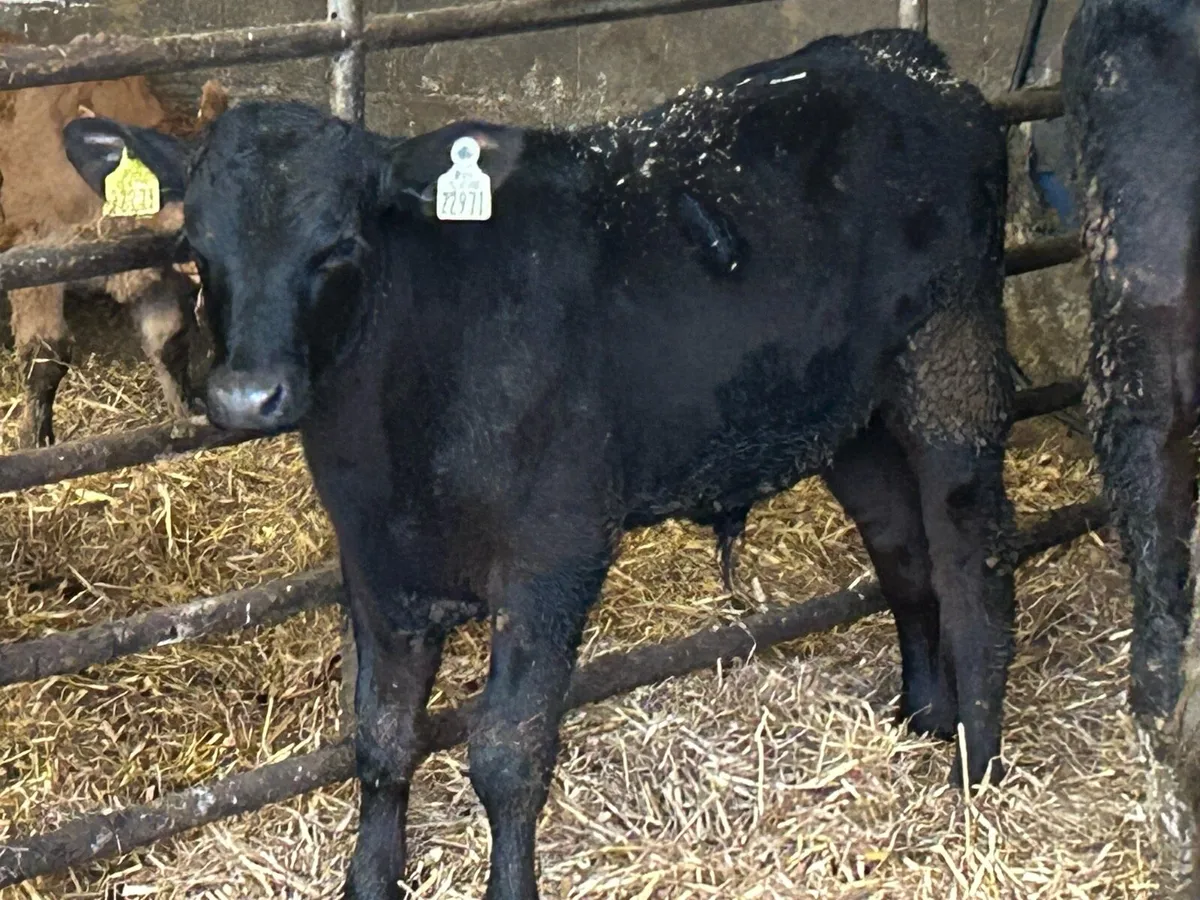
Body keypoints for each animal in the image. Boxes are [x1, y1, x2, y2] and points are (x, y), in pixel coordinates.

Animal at [0, 62, 227, 448]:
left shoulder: (153, 271)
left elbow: (170, 341)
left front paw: (186, 411)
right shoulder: (34, 261)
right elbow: (45, 355)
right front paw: (35, 437)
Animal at [65, 28, 1014, 900]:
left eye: (338, 246)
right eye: (197, 245)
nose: (245, 395)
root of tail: (896, 52)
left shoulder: (555, 552)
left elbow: (507, 754)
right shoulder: (374, 562)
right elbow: (379, 738)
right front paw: (369, 879)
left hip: (952, 359)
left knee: (973, 555)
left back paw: (976, 763)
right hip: (848, 413)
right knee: (901, 548)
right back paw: (924, 715)